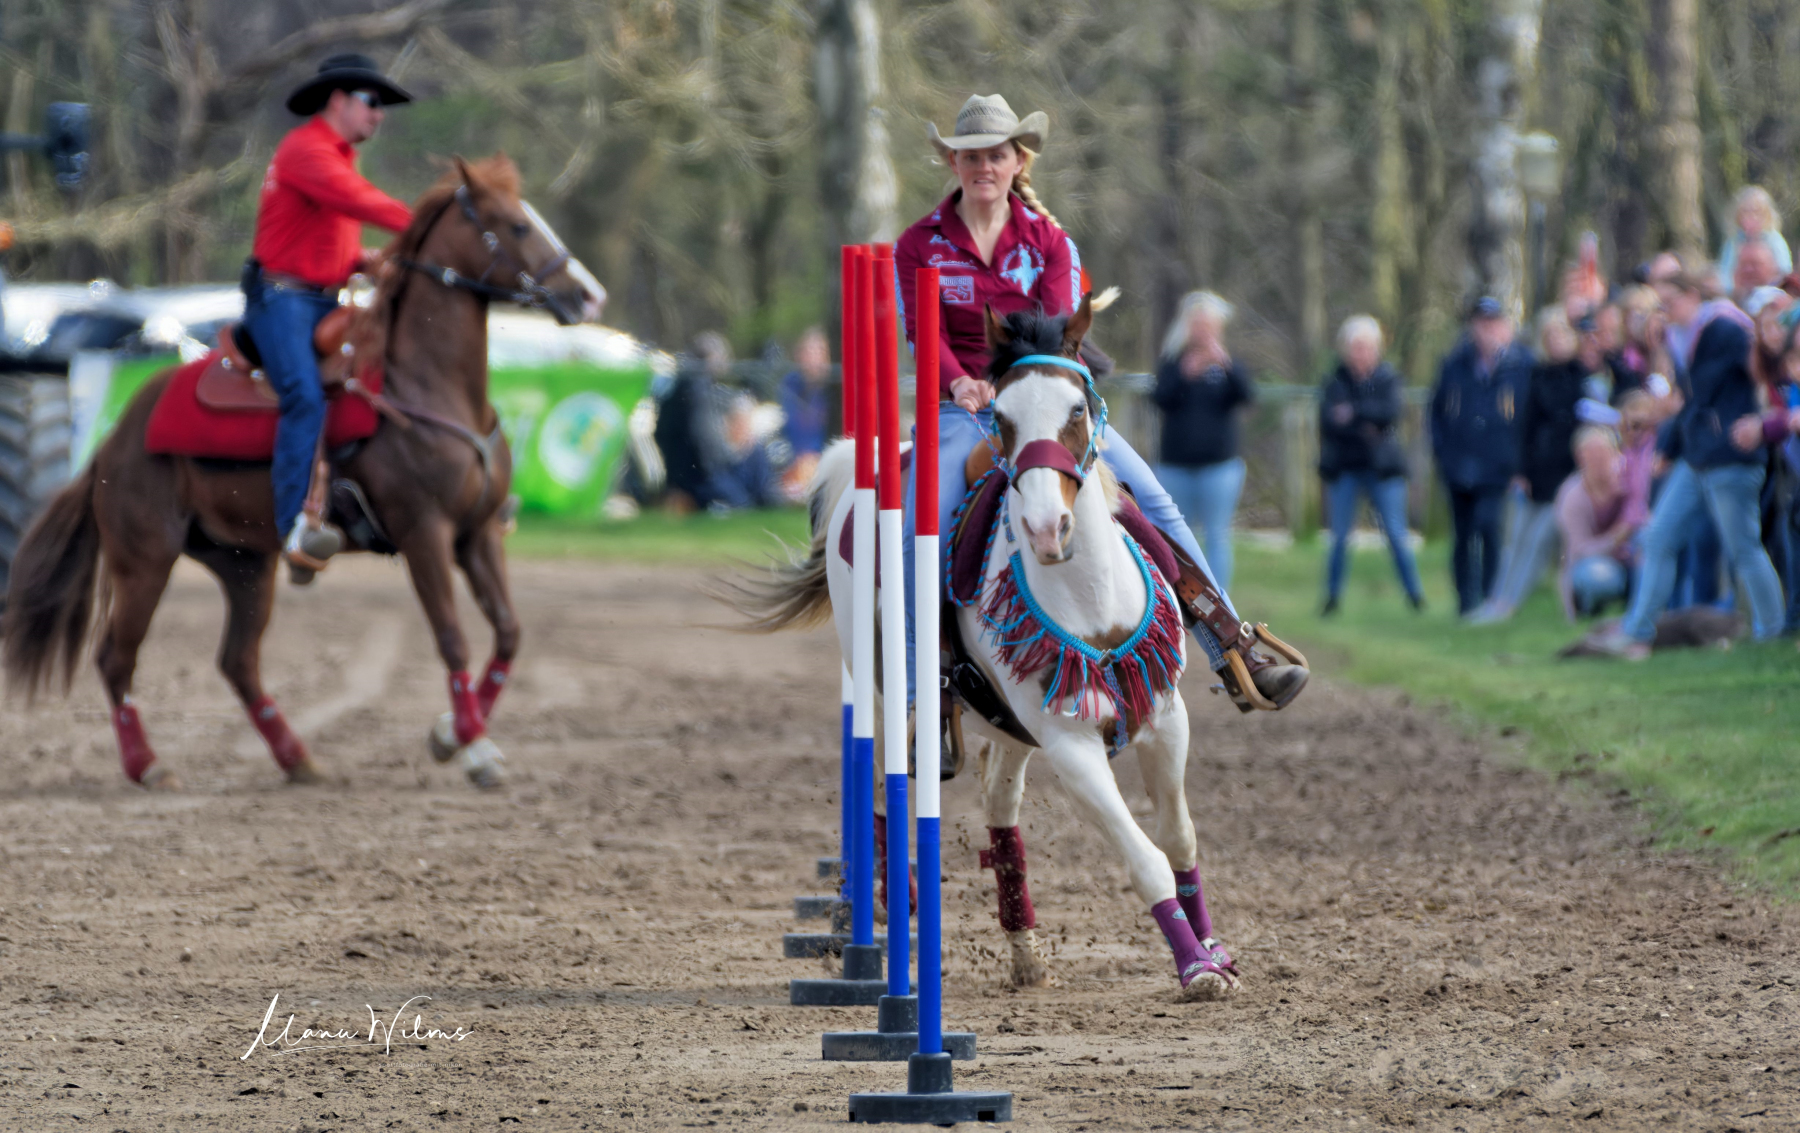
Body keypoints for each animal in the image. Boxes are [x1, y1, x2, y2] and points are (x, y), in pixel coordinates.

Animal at [2, 154, 604, 791]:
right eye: (516, 225)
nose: (589, 296)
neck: (428, 387)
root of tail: (112, 442)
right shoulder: (425, 533)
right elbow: (453, 639)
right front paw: (472, 746)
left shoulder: (478, 532)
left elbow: (509, 632)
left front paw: (451, 736)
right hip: (145, 559)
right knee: (117, 656)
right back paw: (149, 766)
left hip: (244, 563)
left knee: (238, 661)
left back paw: (297, 758)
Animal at [727, 296, 1241, 1000]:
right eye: (1001, 416)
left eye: (1077, 408)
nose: (1047, 528)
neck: (1092, 599)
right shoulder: (1071, 745)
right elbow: (1146, 859)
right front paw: (1194, 969)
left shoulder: (1165, 720)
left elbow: (1180, 840)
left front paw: (1215, 953)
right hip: (883, 692)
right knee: (885, 791)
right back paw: (892, 922)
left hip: (1009, 727)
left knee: (1001, 811)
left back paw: (1024, 952)